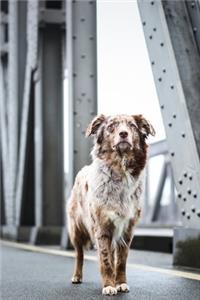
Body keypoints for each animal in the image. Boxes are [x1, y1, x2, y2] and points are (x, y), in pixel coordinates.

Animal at [66, 114, 155, 296]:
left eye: (132, 125)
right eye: (111, 126)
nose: (123, 134)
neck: (120, 167)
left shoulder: (127, 229)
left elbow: (120, 261)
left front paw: (120, 283)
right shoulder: (102, 228)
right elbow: (106, 260)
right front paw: (108, 285)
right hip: (76, 230)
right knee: (79, 254)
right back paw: (77, 276)